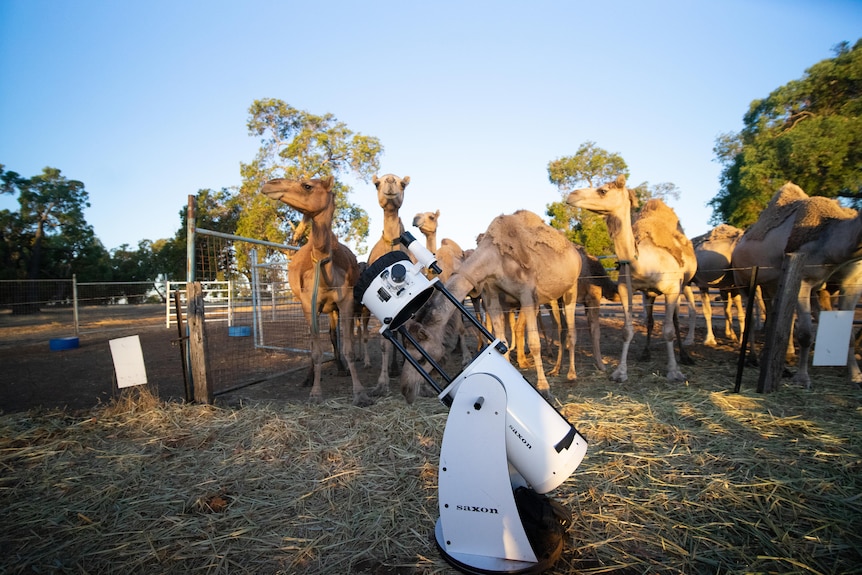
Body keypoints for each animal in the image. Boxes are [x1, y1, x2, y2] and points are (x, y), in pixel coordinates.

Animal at [264, 176, 372, 404]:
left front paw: (360, 392)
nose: (270, 184)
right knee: (312, 341)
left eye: (307, 186)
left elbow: (348, 348)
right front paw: (315, 392)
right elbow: (315, 350)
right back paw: (309, 378)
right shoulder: (308, 303)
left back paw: (341, 368)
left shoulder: (346, 302)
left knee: (332, 335)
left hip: (333, 309)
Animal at [402, 209, 584, 402]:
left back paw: (571, 375)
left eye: (421, 359)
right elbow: (501, 340)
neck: (494, 259)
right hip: (549, 298)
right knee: (557, 326)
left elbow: (535, 343)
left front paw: (544, 388)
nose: (407, 390)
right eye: (406, 351)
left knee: (570, 330)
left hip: (571, 288)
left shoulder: (527, 294)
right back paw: (555, 368)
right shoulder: (491, 295)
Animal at [568, 176, 704, 382]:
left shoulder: (672, 288)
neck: (643, 263)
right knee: (650, 320)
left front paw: (674, 371)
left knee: (677, 319)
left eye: (603, 191)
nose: (571, 195)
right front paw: (620, 372)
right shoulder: (626, 289)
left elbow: (669, 330)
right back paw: (645, 353)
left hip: (684, 285)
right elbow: (627, 331)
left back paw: (684, 356)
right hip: (650, 294)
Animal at [732, 182, 862, 390]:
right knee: (750, 317)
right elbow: (806, 333)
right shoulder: (803, 280)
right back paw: (753, 358)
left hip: (771, 284)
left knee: (772, 313)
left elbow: (847, 330)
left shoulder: (852, 283)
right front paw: (802, 378)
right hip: (744, 280)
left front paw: (856, 375)